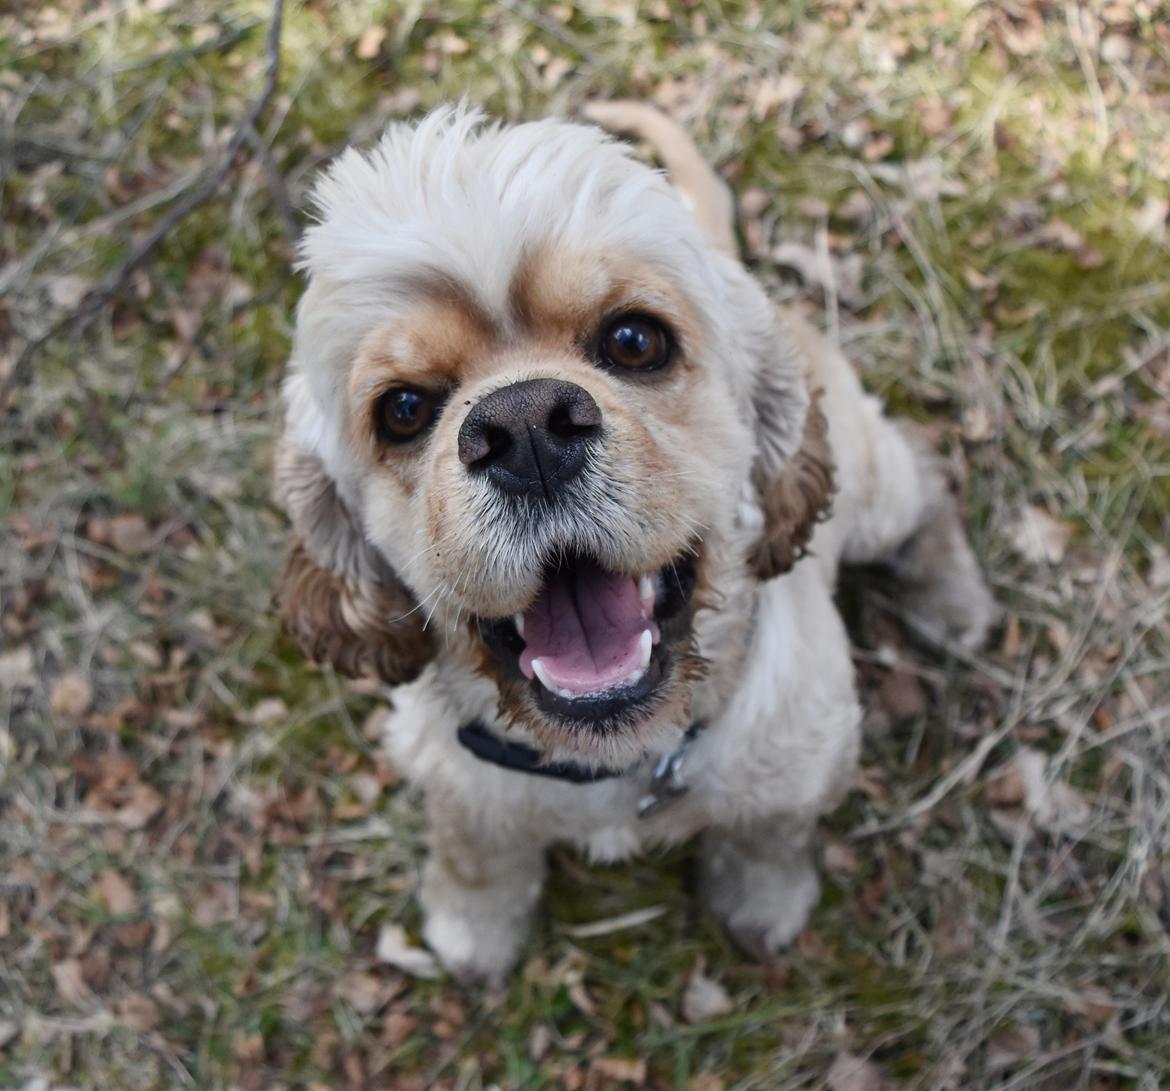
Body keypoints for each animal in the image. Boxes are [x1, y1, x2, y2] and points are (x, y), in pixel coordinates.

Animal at [273, 102, 996, 983]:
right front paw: (470, 936)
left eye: (634, 340)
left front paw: (762, 908)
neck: (620, 756)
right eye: (404, 408)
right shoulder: (460, 785)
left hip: (868, 483)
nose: (525, 430)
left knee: (924, 468)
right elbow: (475, 860)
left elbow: (767, 840)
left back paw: (954, 601)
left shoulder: (802, 763)